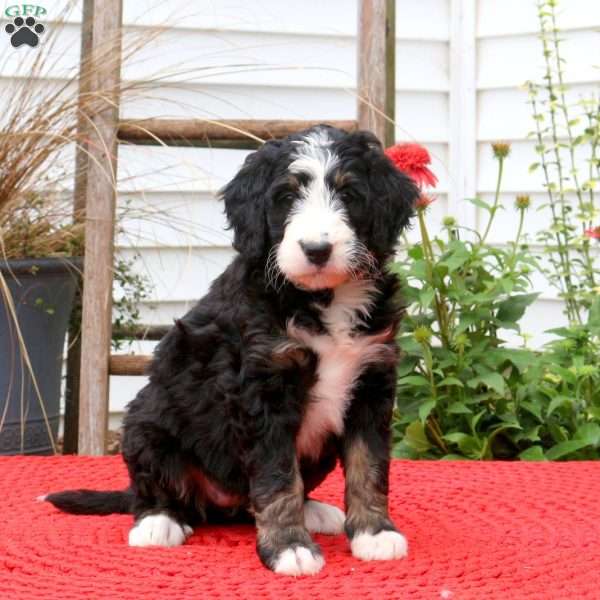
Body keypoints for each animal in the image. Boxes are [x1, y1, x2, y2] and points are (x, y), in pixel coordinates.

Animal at [45, 125, 418, 576]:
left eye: (348, 194)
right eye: (286, 197)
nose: (316, 249)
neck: (321, 299)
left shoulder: (371, 379)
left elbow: (369, 465)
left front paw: (374, 533)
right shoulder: (262, 389)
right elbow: (278, 477)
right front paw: (289, 547)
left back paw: (314, 511)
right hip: (147, 424)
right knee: (153, 490)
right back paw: (158, 523)